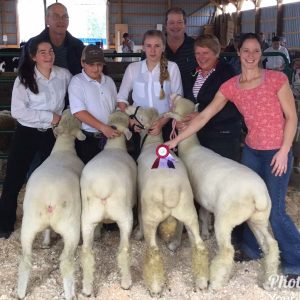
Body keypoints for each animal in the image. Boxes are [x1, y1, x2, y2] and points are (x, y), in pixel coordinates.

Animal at [17, 109, 85, 300]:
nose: (67, 108)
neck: (64, 149)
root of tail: (49, 201)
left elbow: (47, 229)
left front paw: (46, 242)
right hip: (70, 227)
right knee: (66, 262)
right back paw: (70, 293)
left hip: (29, 224)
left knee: (25, 260)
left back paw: (20, 293)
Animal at [79, 109, 137, 296]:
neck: (114, 146)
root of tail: (103, 187)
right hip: (125, 217)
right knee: (124, 250)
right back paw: (126, 282)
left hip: (87, 218)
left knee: (86, 252)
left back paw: (87, 289)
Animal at [125, 106, 210, 298]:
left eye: (139, 114)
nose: (127, 108)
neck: (151, 143)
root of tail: (171, 191)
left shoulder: (140, 201)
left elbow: (138, 216)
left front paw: (138, 234)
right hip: (188, 212)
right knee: (198, 245)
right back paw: (201, 281)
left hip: (151, 216)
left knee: (153, 251)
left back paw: (155, 286)